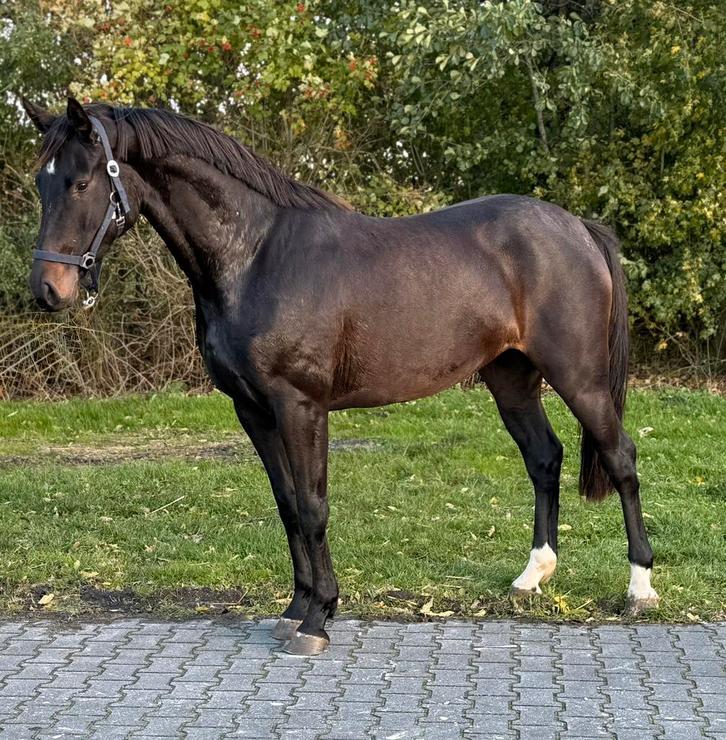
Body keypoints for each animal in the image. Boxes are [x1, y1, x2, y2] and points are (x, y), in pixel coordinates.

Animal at [22, 97, 658, 655]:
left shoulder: (300, 404)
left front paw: (318, 618)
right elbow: (286, 504)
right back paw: (533, 576)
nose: (48, 290)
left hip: (579, 377)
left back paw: (639, 587)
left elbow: (313, 506)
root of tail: (577, 227)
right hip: (511, 377)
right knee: (544, 457)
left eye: (82, 182)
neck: (256, 255)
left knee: (620, 457)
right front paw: (293, 609)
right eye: (40, 182)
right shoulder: (253, 410)